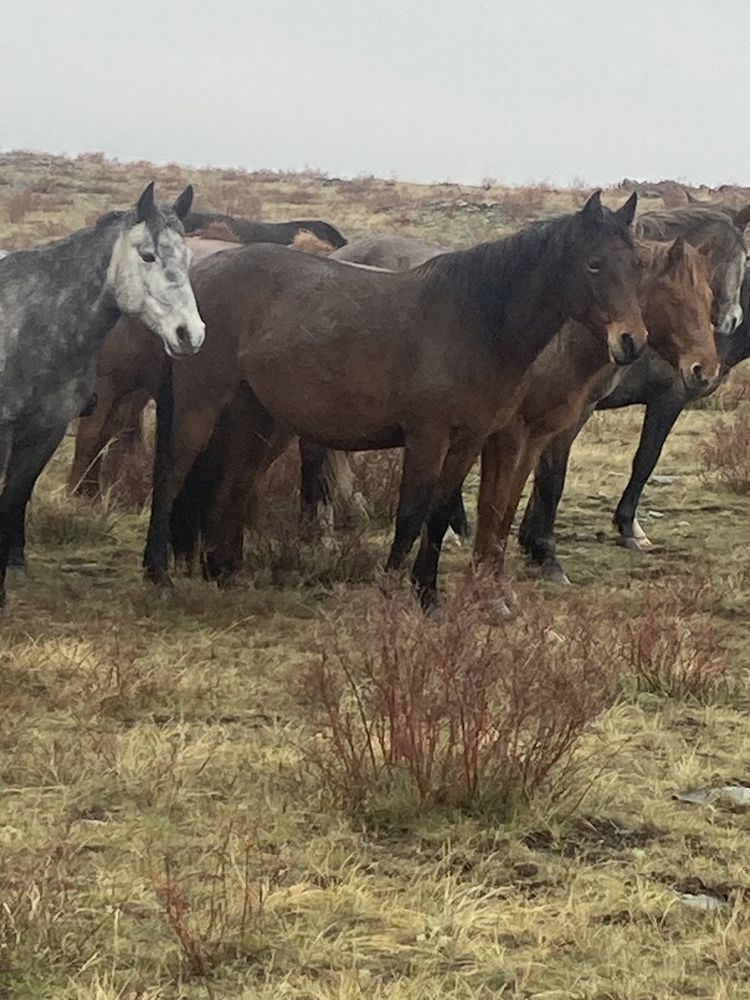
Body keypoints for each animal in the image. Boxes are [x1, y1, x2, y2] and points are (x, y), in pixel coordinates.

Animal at [0, 180, 204, 608]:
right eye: (147, 255)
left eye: (189, 257)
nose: (189, 334)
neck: (33, 321)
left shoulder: (45, 432)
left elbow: (14, 498)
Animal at [144, 189, 648, 608]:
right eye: (594, 264)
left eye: (637, 265)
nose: (632, 341)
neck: (475, 321)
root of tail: (200, 275)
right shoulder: (427, 436)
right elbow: (411, 513)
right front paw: (392, 591)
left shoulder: (468, 440)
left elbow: (440, 514)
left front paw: (429, 596)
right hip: (200, 403)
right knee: (172, 471)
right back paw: (158, 575)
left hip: (255, 416)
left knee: (230, 481)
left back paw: (225, 571)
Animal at [472, 236, 720, 584]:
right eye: (675, 297)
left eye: (709, 297)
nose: (706, 370)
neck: (558, 342)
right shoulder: (524, 427)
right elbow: (547, 482)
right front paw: (545, 556)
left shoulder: (564, 419)